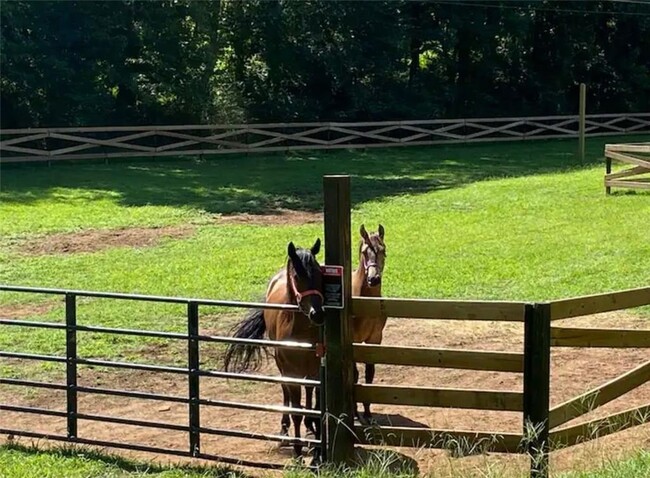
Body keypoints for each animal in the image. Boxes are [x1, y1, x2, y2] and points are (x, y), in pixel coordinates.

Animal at [223, 241, 324, 458]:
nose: (317, 314)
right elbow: (296, 410)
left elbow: (317, 405)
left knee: (308, 391)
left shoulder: (316, 370)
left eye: (320, 272)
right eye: (297, 276)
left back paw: (309, 428)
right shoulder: (291, 372)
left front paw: (318, 446)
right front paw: (297, 450)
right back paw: (284, 431)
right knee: (285, 391)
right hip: (283, 368)